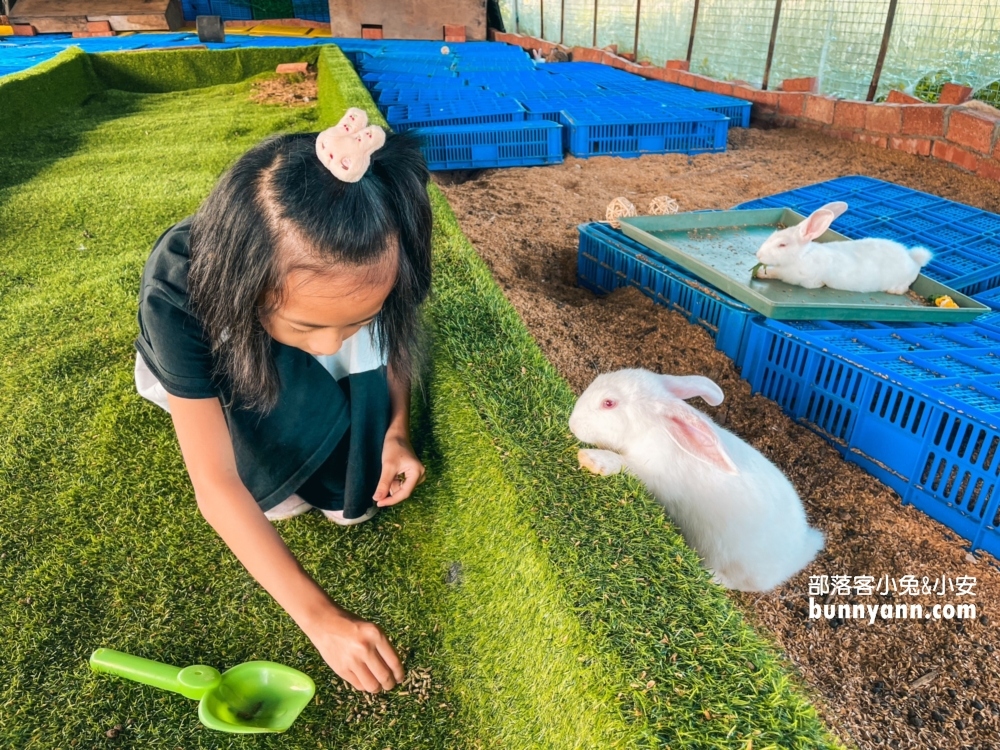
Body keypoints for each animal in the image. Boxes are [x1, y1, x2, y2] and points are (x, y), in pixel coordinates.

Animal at [568, 370, 824, 592]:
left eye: (609, 403)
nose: (572, 423)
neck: (654, 430)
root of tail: (802, 548)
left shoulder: (650, 474)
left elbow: (624, 465)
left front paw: (592, 459)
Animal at [756, 201, 936, 296]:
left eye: (782, 245)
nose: (758, 255)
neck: (802, 256)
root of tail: (915, 260)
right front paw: (760, 273)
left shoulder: (808, 280)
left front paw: (760, 273)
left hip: (901, 281)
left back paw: (894, 291)